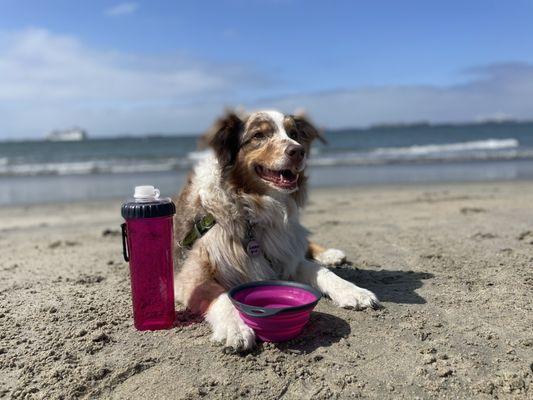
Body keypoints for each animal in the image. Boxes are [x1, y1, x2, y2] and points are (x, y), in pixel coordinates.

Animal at [172, 109, 376, 350]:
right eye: (259, 135)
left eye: (294, 134)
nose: (298, 151)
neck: (253, 210)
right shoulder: (191, 274)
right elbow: (220, 296)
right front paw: (235, 327)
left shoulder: (283, 255)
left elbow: (319, 270)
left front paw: (353, 291)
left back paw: (330, 254)